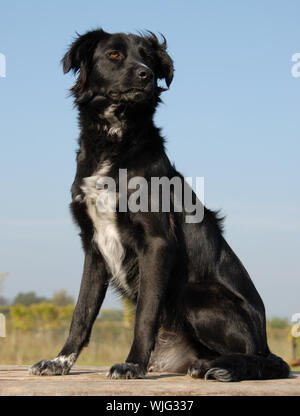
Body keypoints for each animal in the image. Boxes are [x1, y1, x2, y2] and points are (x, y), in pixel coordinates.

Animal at [29, 27, 288, 382]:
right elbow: (81, 312)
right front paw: (60, 361)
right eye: (114, 54)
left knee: (255, 357)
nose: (146, 75)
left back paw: (214, 366)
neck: (114, 143)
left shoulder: (156, 242)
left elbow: (145, 314)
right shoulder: (93, 247)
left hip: (193, 296)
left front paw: (133, 364)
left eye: (148, 59)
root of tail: (264, 341)